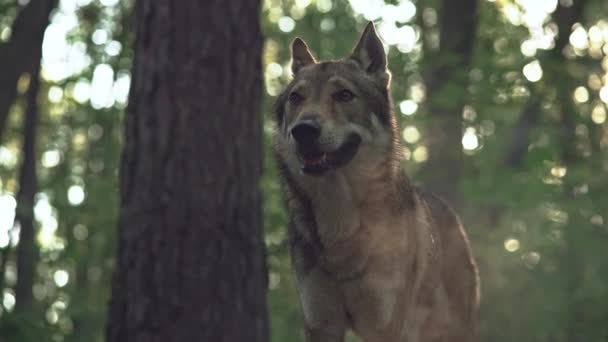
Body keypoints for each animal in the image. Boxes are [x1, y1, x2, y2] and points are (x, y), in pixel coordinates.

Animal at [274, 22, 480, 340]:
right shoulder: (321, 324)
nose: (303, 130)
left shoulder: (383, 326)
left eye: (344, 95)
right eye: (296, 98)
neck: (340, 224)